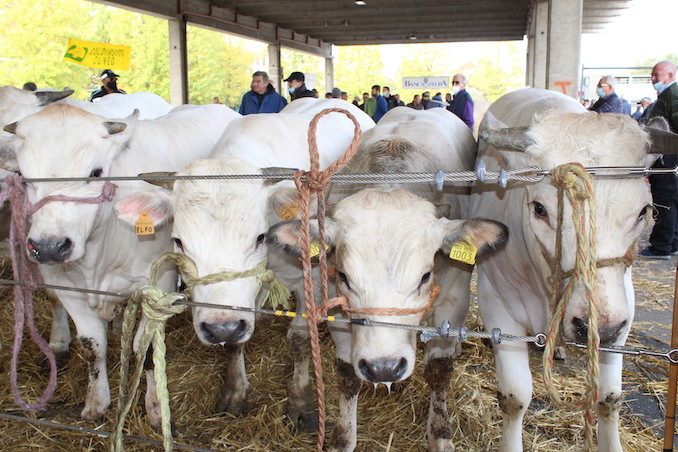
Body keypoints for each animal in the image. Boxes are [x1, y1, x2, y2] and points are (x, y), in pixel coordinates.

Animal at [4, 102, 239, 424]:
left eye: (95, 172)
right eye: (23, 175)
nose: (50, 246)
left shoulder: (160, 282)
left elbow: (145, 345)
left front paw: (155, 406)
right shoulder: (64, 283)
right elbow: (93, 344)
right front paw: (96, 402)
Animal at [113, 100, 374, 432]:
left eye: (259, 237)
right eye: (178, 241)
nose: (221, 327)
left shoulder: (313, 278)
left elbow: (300, 339)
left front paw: (300, 402)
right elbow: (236, 343)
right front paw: (235, 390)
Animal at [268, 107, 508, 450]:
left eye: (425, 275)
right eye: (343, 275)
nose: (384, 367)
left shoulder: (453, 301)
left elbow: (439, 370)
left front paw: (440, 435)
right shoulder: (339, 311)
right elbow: (347, 374)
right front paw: (343, 438)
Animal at [472, 87, 678, 448]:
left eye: (643, 211)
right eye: (539, 209)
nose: (598, 327)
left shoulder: (623, 310)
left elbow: (609, 397)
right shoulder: (496, 304)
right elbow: (514, 397)